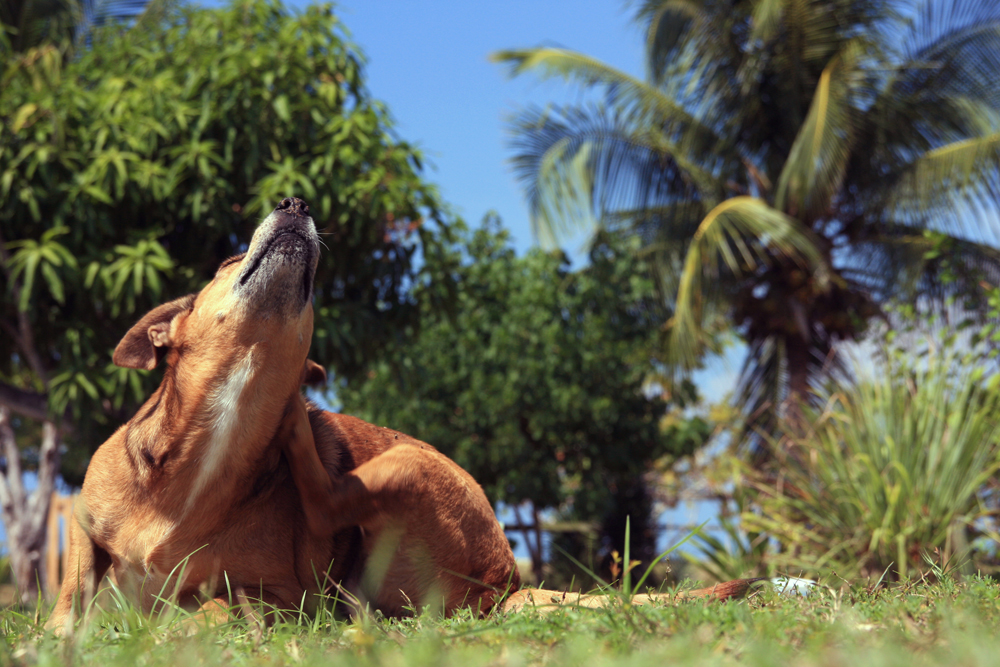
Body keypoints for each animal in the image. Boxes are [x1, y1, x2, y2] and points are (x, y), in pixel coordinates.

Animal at [46, 197, 516, 632]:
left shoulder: (283, 597)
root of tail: (502, 583)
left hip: (408, 464)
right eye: (227, 262)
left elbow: (215, 604)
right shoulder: (82, 524)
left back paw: (296, 423)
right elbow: (73, 588)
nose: (296, 203)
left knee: (325, 505)